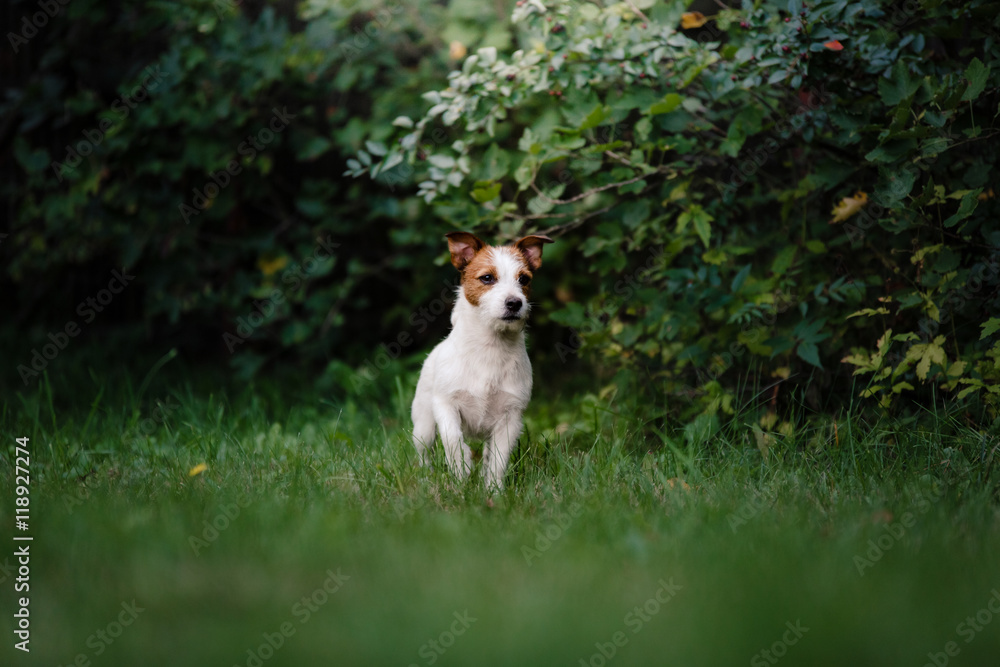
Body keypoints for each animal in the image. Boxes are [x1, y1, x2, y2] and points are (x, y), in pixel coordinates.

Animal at [412, 232, 556, 488]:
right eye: (487, 278)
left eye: (524, 279)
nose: (515, 303)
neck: (490, 347)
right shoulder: (445, 404)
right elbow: (452, 440)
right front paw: (462, 472)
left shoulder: (510, 418)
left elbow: (498, 459)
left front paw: (493, 491)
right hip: (423, 424)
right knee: (423, 452)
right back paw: (426, 478)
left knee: (489, 453)